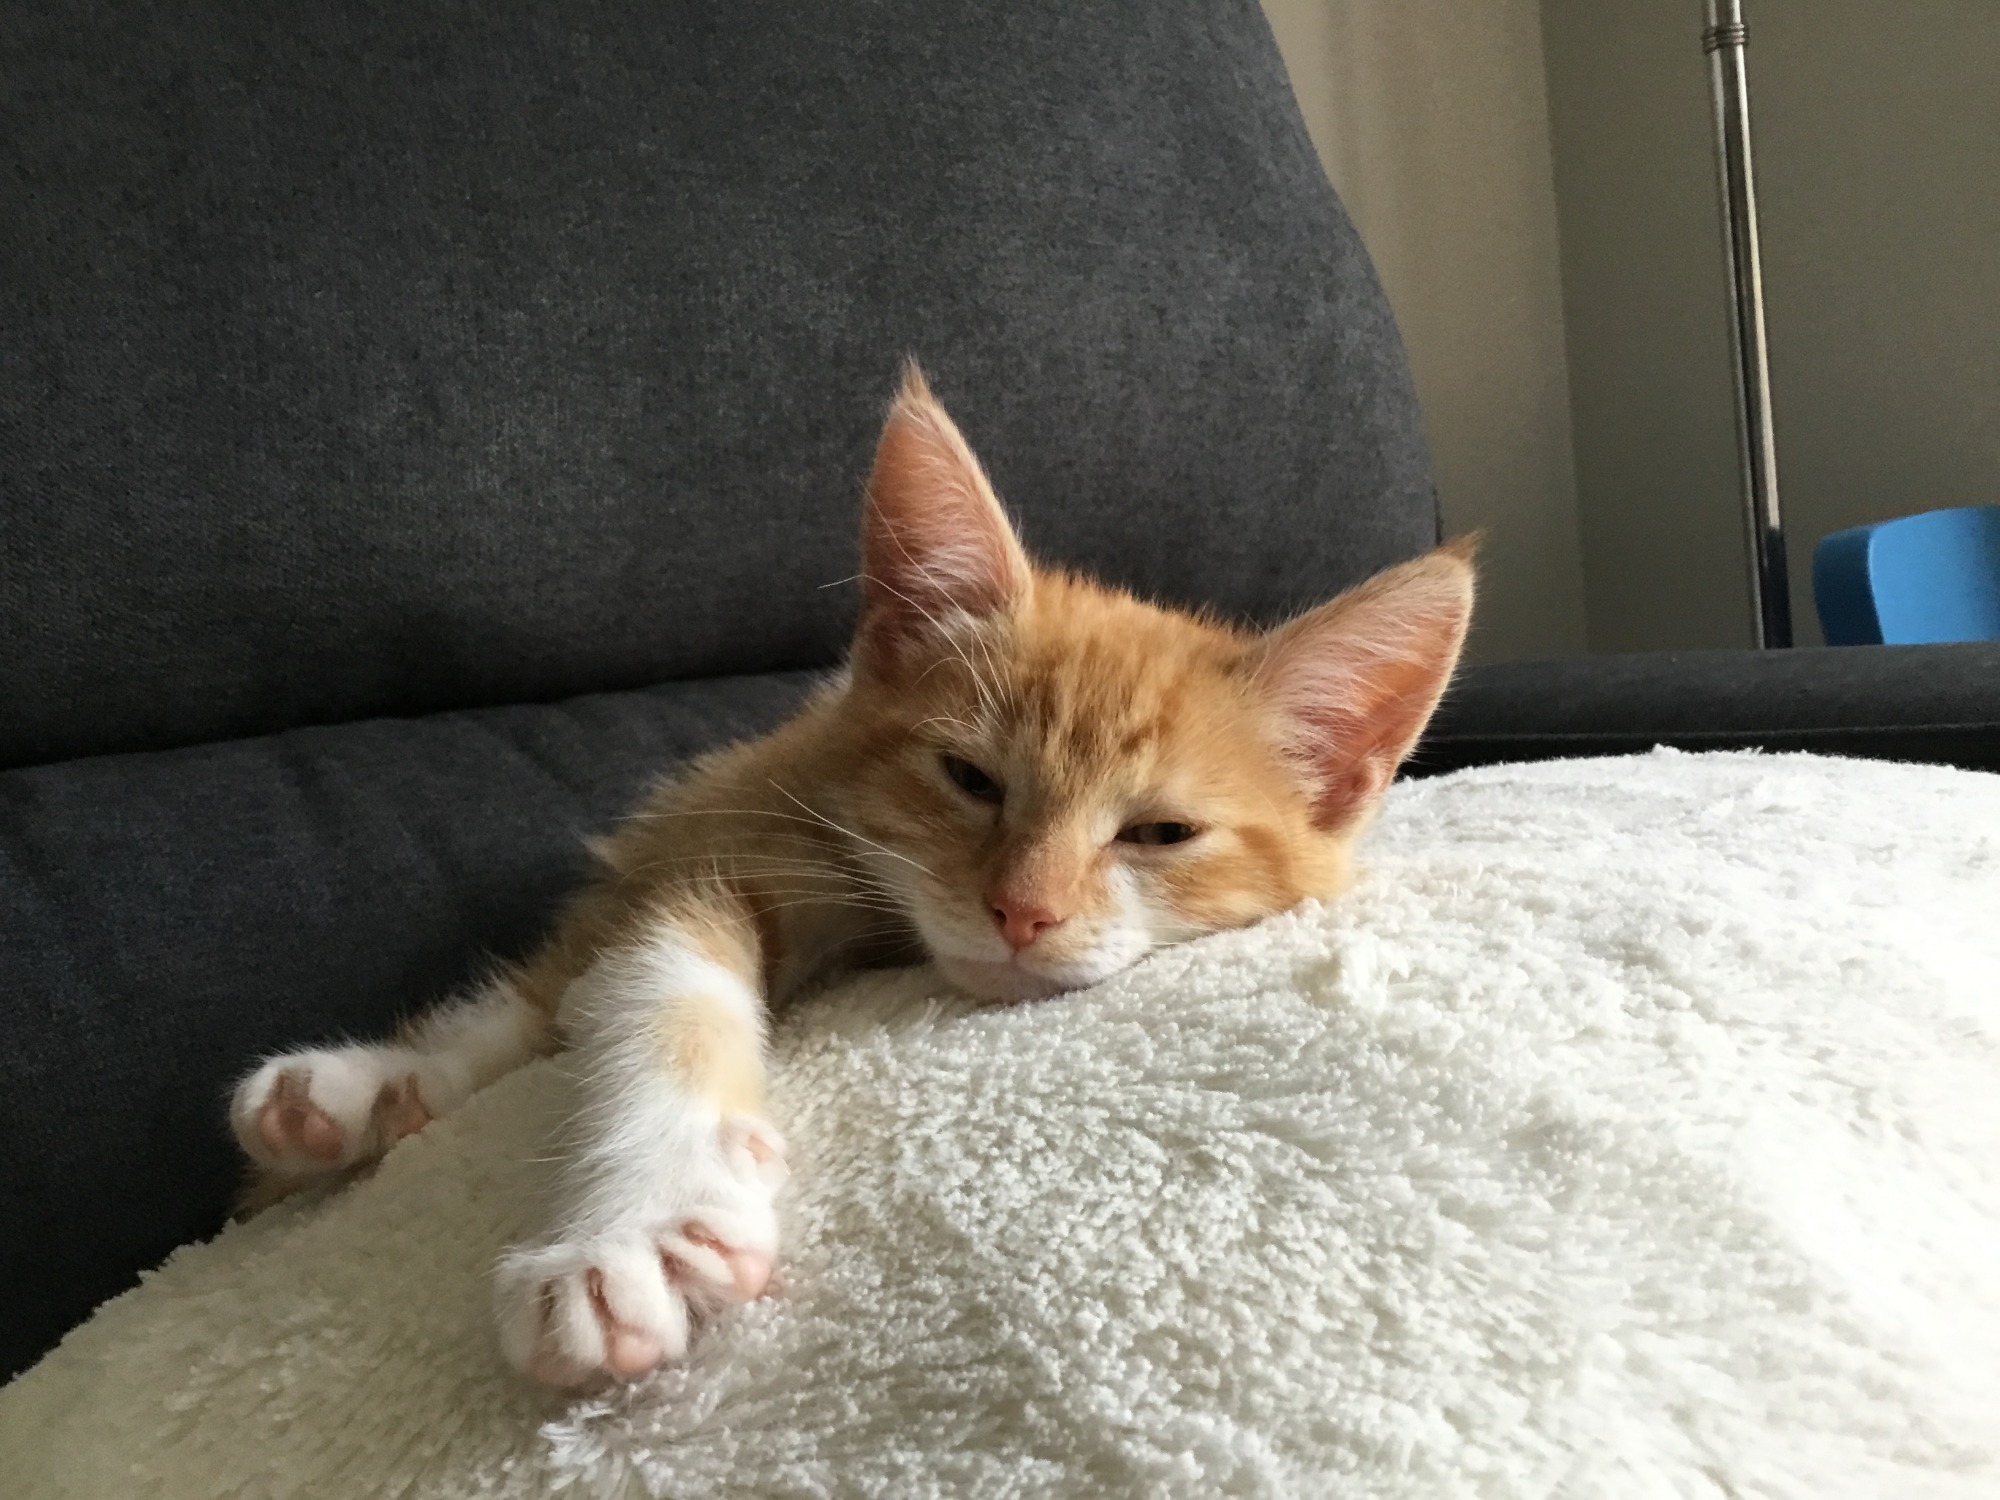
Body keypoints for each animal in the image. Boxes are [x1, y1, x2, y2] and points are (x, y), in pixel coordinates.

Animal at [229, 364, 1474, 1388]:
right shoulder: (728, 841)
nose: (1021, 911)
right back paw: (355, 1091)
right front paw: (642, 1222)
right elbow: (655, 983)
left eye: (1159, 833)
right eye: (969, 778)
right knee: (550, 985)